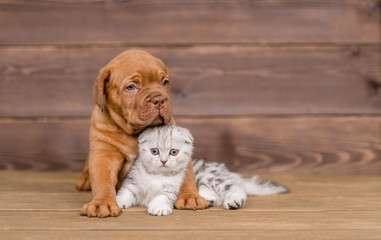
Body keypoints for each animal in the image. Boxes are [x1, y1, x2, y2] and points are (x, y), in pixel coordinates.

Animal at [76, 50, 208, 218]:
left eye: (165, 82)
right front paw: (102, 203)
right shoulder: (104, 155)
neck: (135, 132)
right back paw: (85, 180)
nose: (159, 99)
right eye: (131, 87)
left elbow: (187, 175)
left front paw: (190, 196)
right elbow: (102, 181)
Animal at [116, 124, 288, 217]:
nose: (163, 161)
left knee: (235, 188)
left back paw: (234, 201)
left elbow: (162, 196)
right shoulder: (132, 182)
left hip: (211, 176)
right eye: (154, 151)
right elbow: (125, 193)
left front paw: (159, 207)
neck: (158, 174)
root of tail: (227, 172)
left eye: (173, 152)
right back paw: (208, 198)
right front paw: (117, 202)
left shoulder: (172, 189)